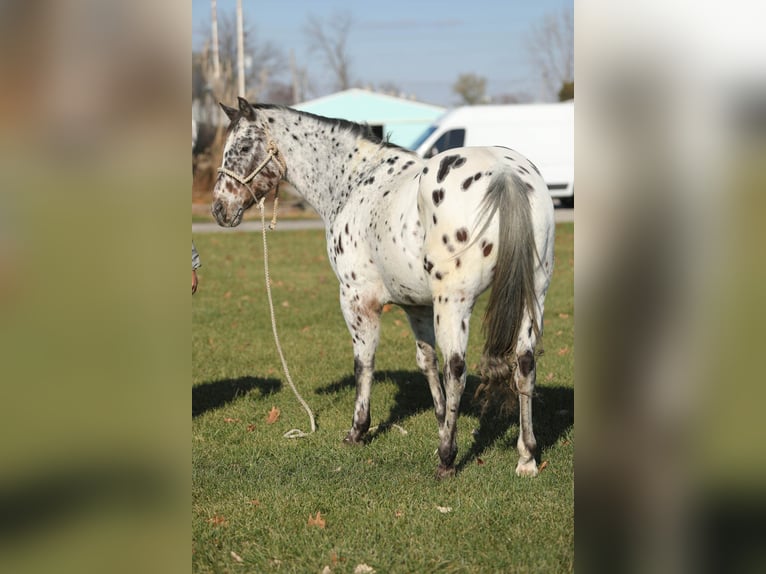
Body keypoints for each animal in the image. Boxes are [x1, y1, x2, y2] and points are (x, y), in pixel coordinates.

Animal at [213, 99, 556, 482]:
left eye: (243, 148)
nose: (219, 209)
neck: (357, 181)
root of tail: (505, 174)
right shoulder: (417, 306)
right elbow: (426, 361)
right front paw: (440, 423)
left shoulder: (356, 298)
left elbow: (364, 362)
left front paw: (358, 431)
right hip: (532, 296)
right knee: (524, 363)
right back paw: (526, 457)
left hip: (455, 301)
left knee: (457, 369)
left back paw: (447, 459)